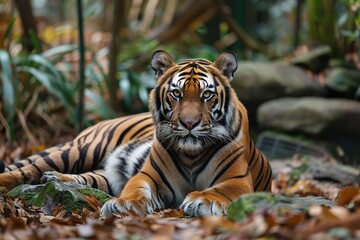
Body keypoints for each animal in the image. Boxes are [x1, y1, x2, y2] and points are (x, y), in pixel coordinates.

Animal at [0, 50, 270, 218]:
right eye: (177, 94)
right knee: (27, 169)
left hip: (103, 174)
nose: (189, 123)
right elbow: (135, 189)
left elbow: (220, 190)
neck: (192, 154)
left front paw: (204, 200)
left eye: (206, 95)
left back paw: (55, 178)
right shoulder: (148, 175)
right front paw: (123, 205)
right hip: (81, 149)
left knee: (88, 178)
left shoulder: (237, 180)